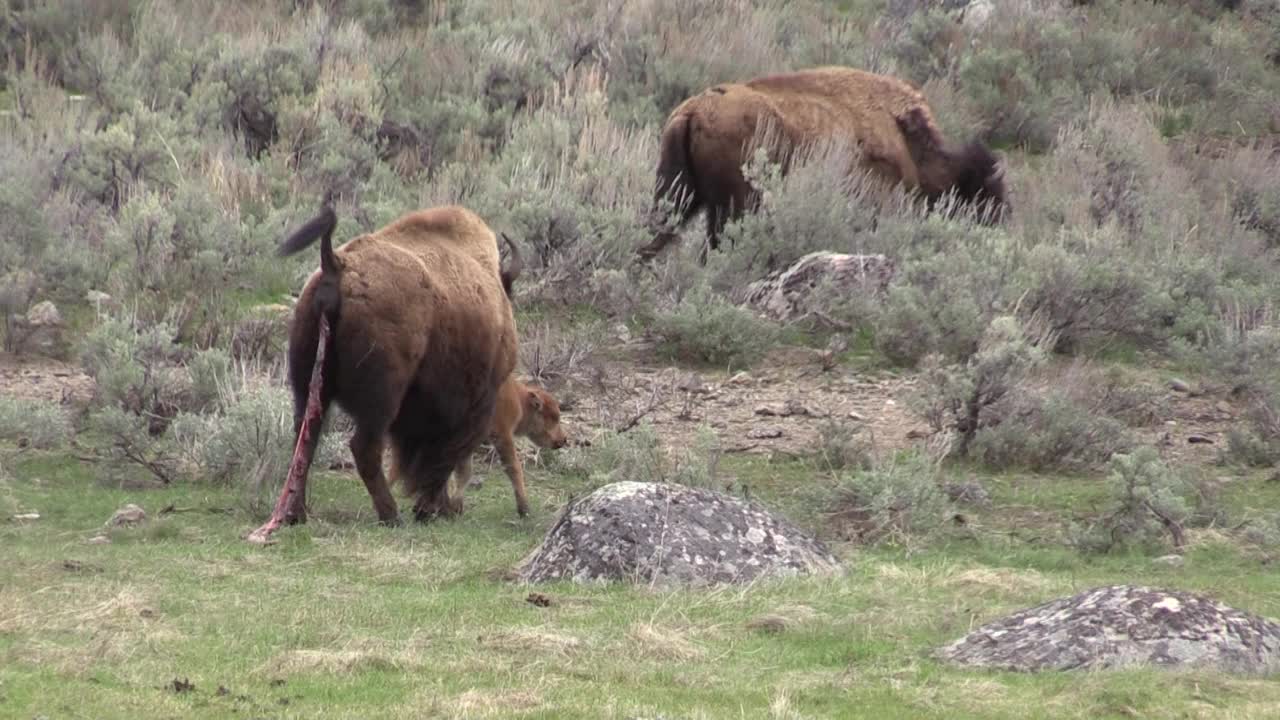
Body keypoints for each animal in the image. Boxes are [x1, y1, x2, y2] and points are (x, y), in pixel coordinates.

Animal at [249, 202, 519, 538]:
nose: (455, 510)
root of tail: (336, 263)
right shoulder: (476, 405)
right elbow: (444, 456)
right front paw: (428, 508)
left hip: (307, 385)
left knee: (305, 438)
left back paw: (295, 514)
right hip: (383, 398)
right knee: (364, 448)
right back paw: (391, 515)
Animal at [637, 65, 1008, 262]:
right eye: (982, 198)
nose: (994, 233)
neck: (905, 139)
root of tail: (693, 110)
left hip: (679, 197)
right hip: (734, 206)